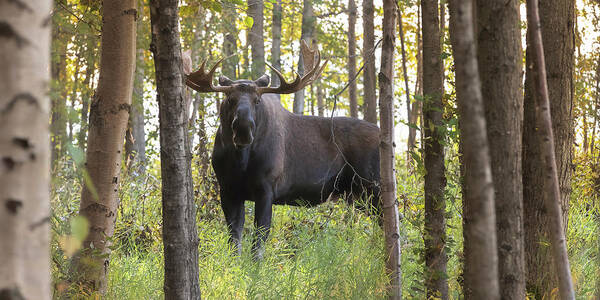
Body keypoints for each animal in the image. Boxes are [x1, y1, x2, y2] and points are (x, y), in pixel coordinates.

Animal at [185, 41, 380, 258]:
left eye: (257, 100)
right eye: (229, 99)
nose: (243, 129)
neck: (241, 161)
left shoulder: (266, 189)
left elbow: (259, 241)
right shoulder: (228, 190)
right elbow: (235, 239)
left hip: (373, 187)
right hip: (357, 195)